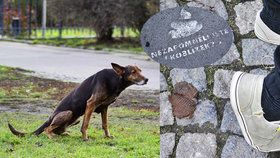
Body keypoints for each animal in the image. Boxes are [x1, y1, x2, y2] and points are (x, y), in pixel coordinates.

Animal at [7, 63, 149, 141]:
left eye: (140, 70)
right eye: (133, 72)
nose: (147, 79)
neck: (115, 79)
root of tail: (49, 118)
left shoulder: (104, 107)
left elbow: (105, 124)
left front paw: (108, 136)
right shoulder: (90, 104)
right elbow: (86, 124)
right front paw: (85, 138)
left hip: (75, 118)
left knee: (58, 130)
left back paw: (64, 134)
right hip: (68, 113)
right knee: (48, 129)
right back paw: (53, 136)